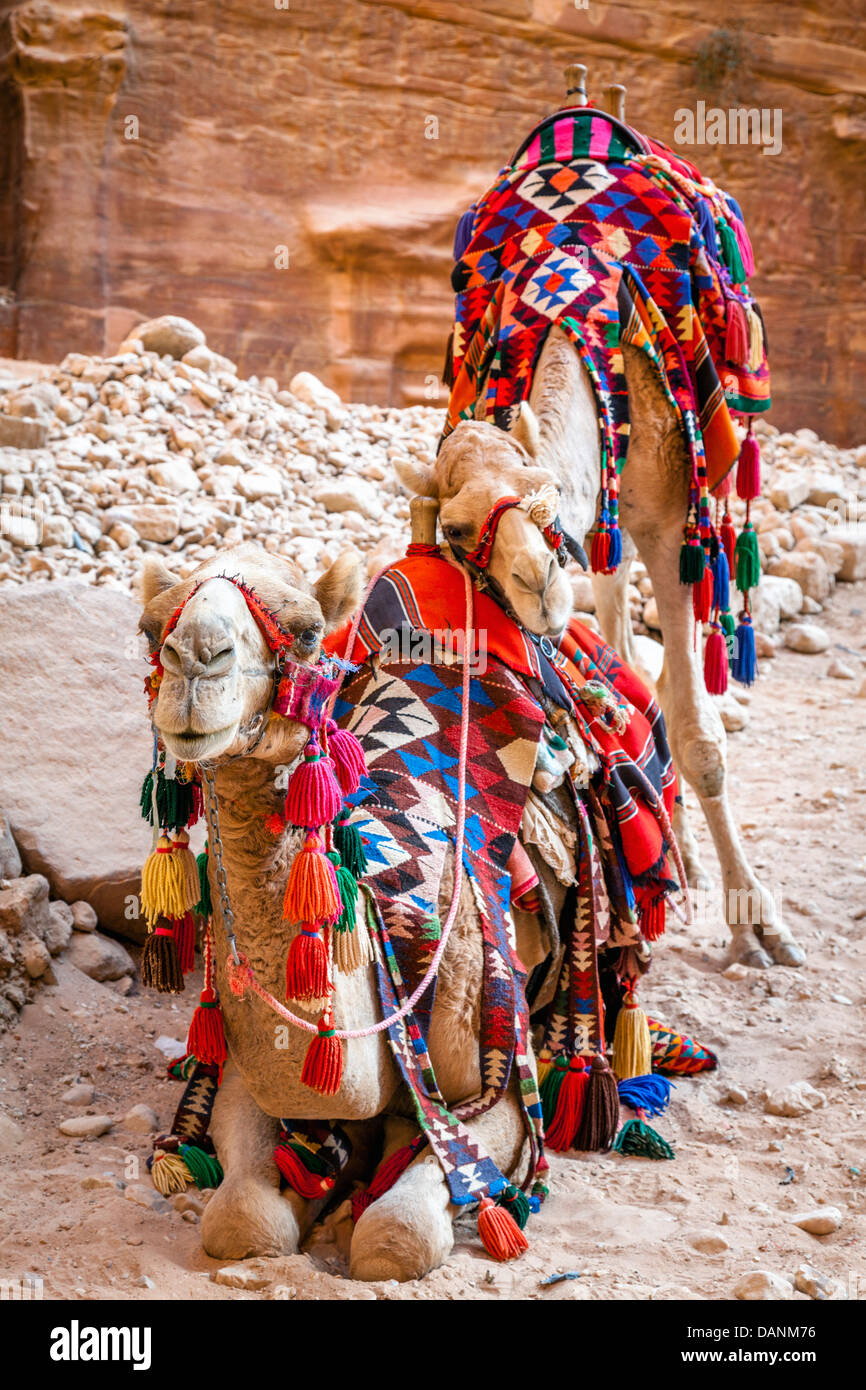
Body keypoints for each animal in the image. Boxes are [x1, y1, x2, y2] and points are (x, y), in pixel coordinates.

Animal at [400, 329, 806, 973]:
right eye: (457, 529)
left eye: (550, 489)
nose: (539, 584)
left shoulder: (668, 523)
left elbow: (700, 736)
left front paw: (757, 928)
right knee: (628, 652)